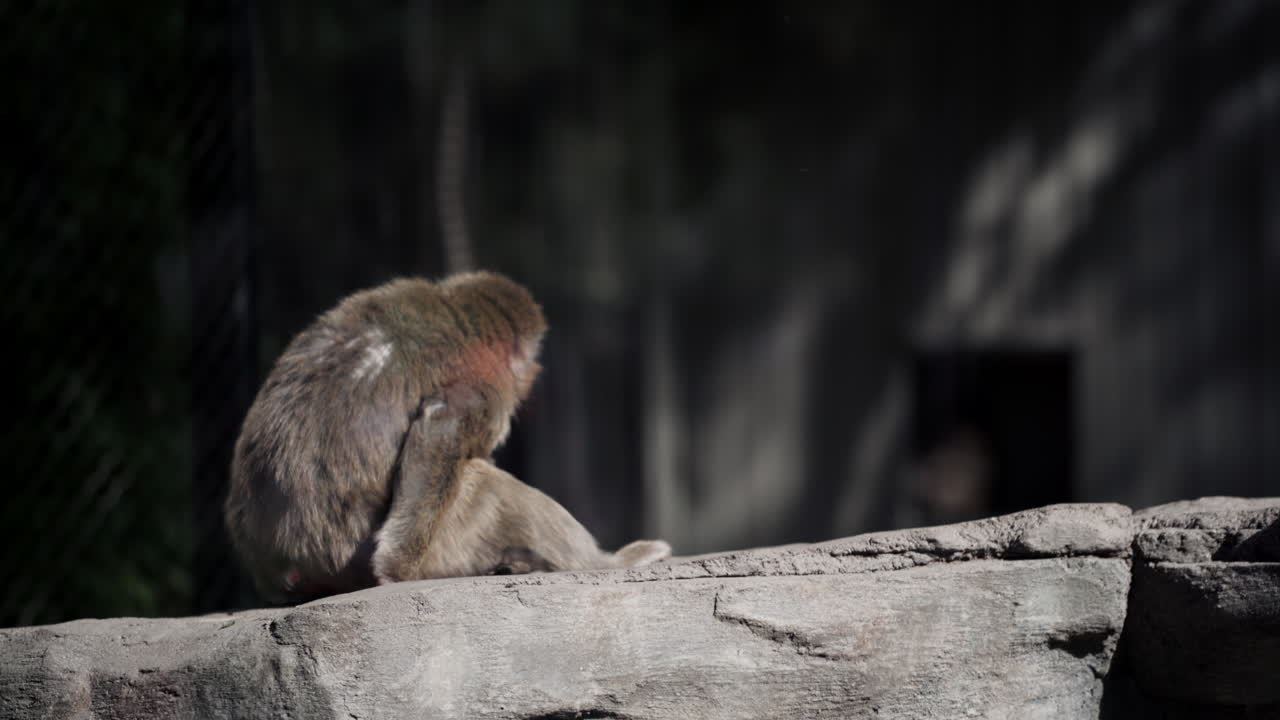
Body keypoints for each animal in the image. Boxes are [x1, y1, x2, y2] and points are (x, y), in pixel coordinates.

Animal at [224, 271, 670, 603]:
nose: (532, 373)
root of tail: (291, 568)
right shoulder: (484, 385)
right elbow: (440, 430)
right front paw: (396, 570)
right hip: (445, 544)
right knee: (481, 482)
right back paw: (608, 564)